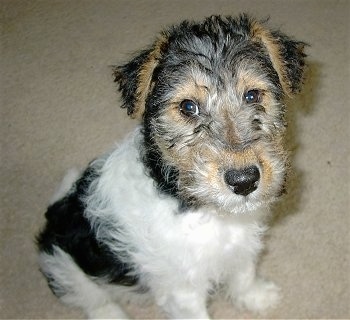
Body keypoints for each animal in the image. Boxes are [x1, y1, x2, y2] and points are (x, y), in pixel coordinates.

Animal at [37, 13, 306, 318]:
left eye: (252, 95)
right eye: (188, 107)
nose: (244, 180)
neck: (201, 209)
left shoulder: (241, 247)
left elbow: (244, 275)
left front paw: (258, 298)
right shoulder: (183, 290)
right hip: (66, 267)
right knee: (93, 300)